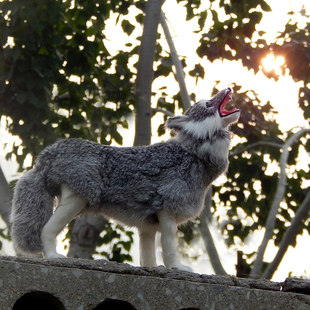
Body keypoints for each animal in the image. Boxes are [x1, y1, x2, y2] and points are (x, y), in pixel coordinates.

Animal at [10, 87, 240, 272]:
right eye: (208, 103)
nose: (229, 88)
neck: (194, 152)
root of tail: (47, 154)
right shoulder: (167, 214)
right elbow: (169, 248)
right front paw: (177, 268)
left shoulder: (148, 225)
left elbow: (148, 257)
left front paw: (153, 270)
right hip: (75, 201)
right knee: (46, 230)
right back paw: (53, 257)